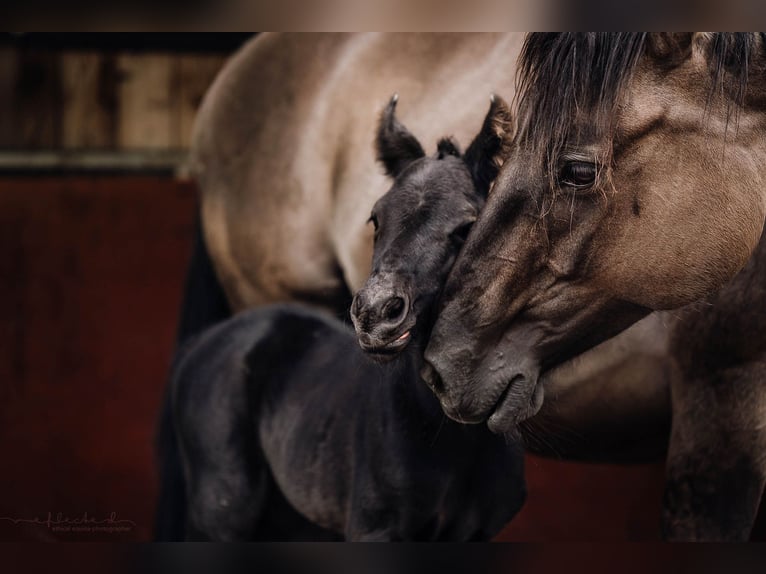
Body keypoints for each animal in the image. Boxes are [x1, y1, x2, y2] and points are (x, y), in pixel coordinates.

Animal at [170, 97, 524, 544]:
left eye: (466, 226)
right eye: (376, 218)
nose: (375, 313)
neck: (453, 438)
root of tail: (203, 343)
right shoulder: (375, 528)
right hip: (220, 512)